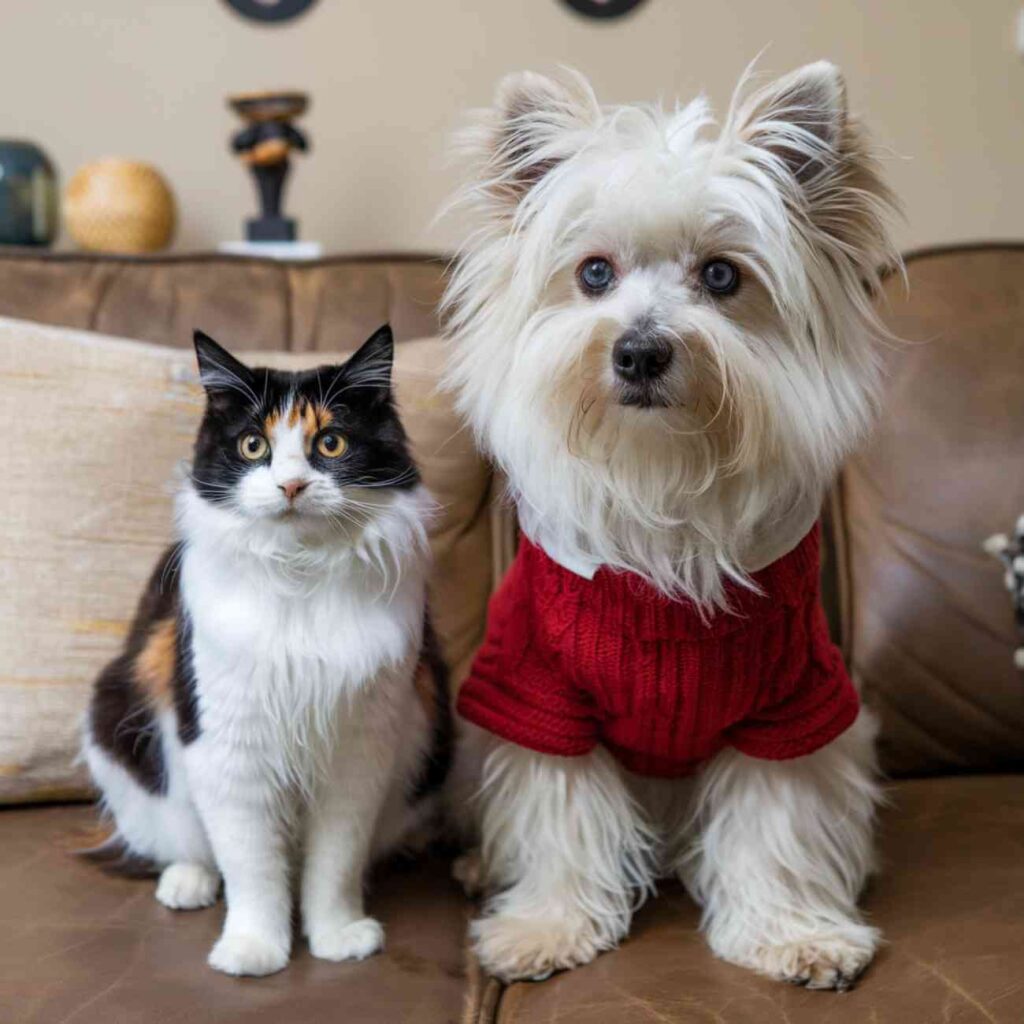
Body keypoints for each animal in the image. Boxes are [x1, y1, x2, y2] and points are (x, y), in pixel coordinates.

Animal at [79, 325, 448, 974]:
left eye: (330, 443)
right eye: (254, 446)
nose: (292, 485)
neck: (299, 574)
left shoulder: (360, 749)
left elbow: (335, 864)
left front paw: (337, 938)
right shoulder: (228, 745)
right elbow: (252, 867)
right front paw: (254, 951)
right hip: (123, 732)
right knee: (187, 846)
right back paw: (186, 886)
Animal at [444, 64, 901, 991]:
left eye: (722, 277)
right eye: (593, 273)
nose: (640, 351)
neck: (660, 478)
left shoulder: (790, 707)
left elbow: (777, 822)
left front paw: (793, 934)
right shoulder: (544, 697)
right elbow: (559, 816)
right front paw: (546, 926)